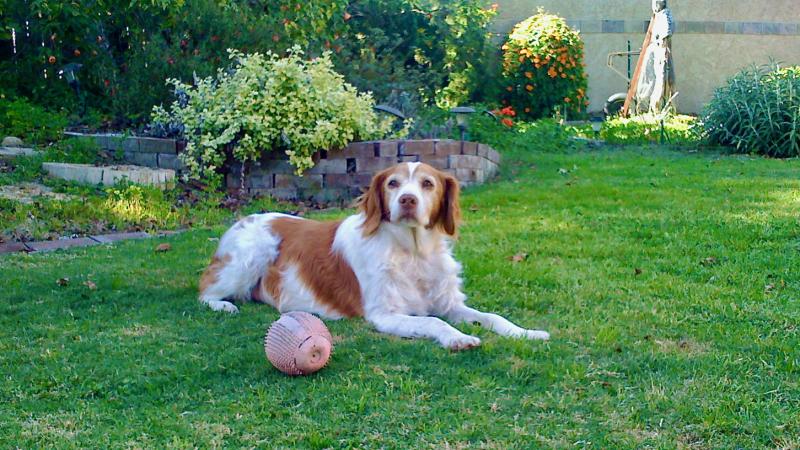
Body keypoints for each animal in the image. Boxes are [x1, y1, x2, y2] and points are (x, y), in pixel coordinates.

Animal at [200, 163, 552, 350]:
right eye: (393, 183)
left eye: (428, 184)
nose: (407, 199)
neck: (412, 252)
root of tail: (244, 218)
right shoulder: (385, 314)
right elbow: (433, 321)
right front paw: (458, 338)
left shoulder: (451, 304)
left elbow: (493, 317)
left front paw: (526, 332)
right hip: (250, 257)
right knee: (205, 293)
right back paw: (224, 305)